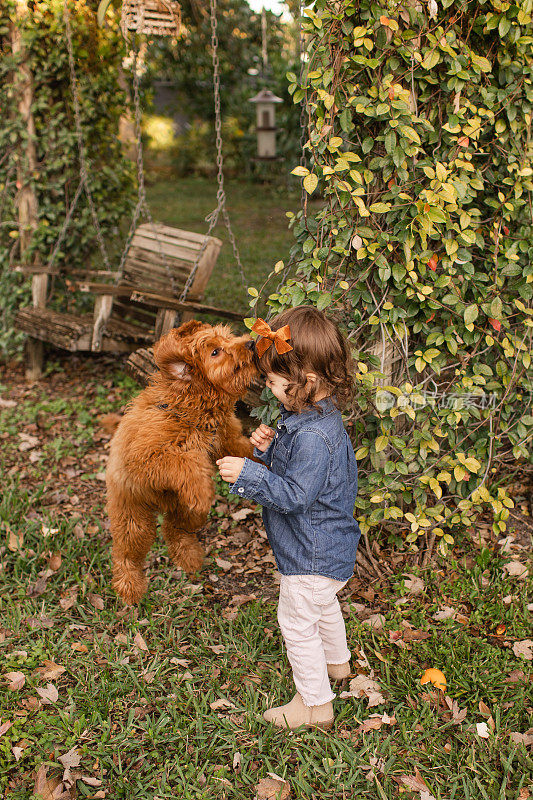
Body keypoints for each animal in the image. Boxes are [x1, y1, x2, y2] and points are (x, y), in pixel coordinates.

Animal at [106, 318, 256, 600]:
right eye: (215, 351)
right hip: (134, 517)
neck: (188, 406)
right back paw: (130, 587)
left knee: (175, 530)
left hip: (184, 508)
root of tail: (159, 505)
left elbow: (244, 450)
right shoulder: (146, 458)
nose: (251, 343)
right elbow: (185, 461)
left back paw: (190, 557)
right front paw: (203, 486)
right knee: (126, 552)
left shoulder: (226, 438)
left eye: (228, 338)